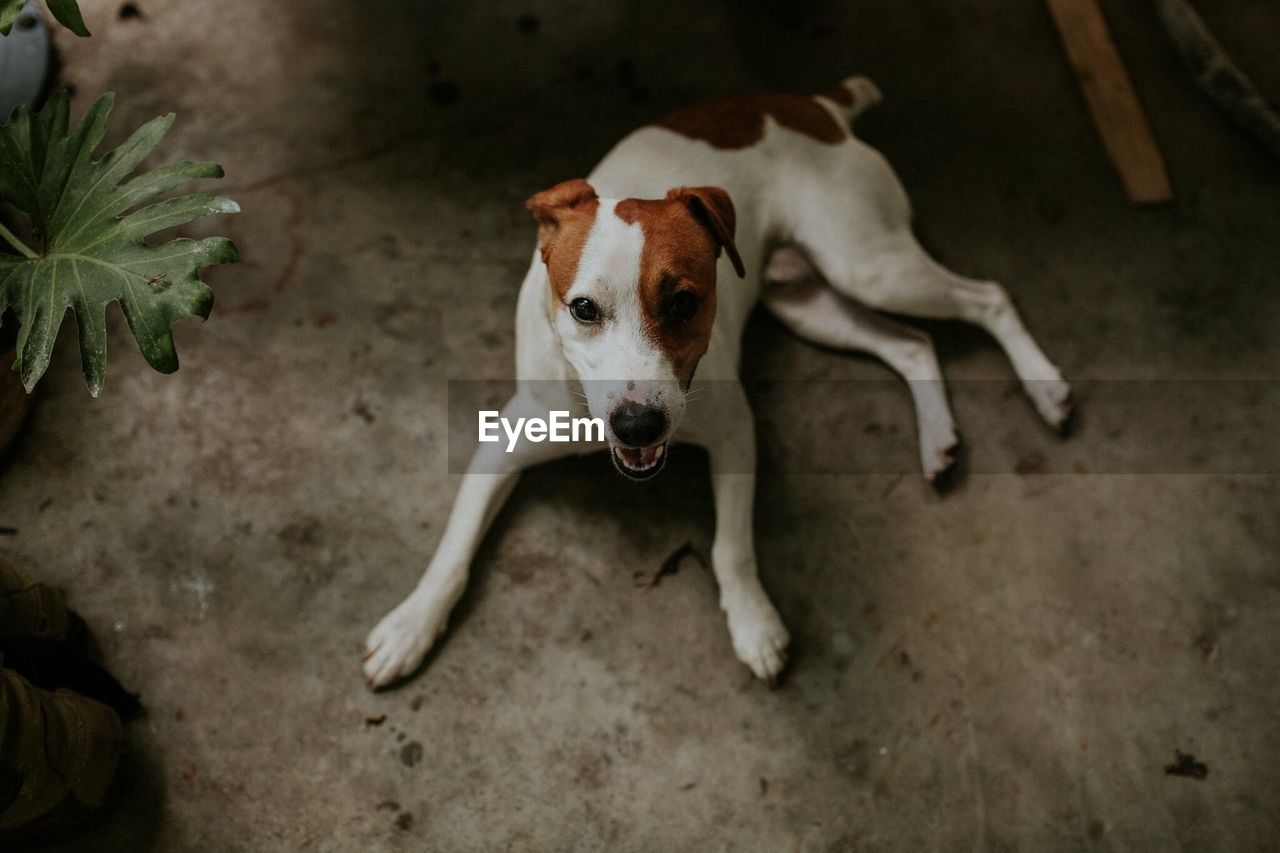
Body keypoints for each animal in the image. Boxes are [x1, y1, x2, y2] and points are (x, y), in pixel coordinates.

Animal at [363, 74, 1070, 686]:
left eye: (683, 303)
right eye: (583, 309)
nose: (638, 424)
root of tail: (812, 104)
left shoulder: (735, 431)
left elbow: (731, 547)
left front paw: (755, 624)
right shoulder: (502, 443)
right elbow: (453, 548)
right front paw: (410, 626)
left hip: (869, 263)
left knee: (988, 299)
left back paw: (1045, 389)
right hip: (810, 301)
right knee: (915, 346)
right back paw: (938, 438)